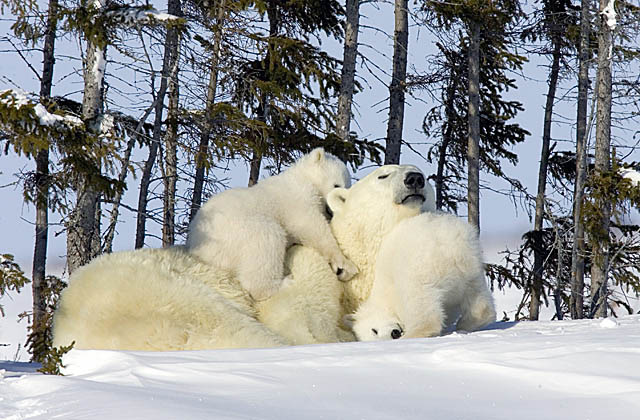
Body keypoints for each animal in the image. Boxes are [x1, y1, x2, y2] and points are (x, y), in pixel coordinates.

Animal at [185, 148, 358, 302]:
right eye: (337, 185)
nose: (333, 210)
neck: (302, 177)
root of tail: (197, 249)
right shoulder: (297, 197)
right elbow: (310, 225)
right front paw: (345, 265)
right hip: (236, 231)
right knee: (267, 239)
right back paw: (285, 283)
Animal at [344, 213, 496, 342]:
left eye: (374, 330)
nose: (394, 333)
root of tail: (448, 243)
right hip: (471, 263)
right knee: (477, 295)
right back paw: (468, 323)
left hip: (419, 267)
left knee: (420, 301)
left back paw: (414, 334)